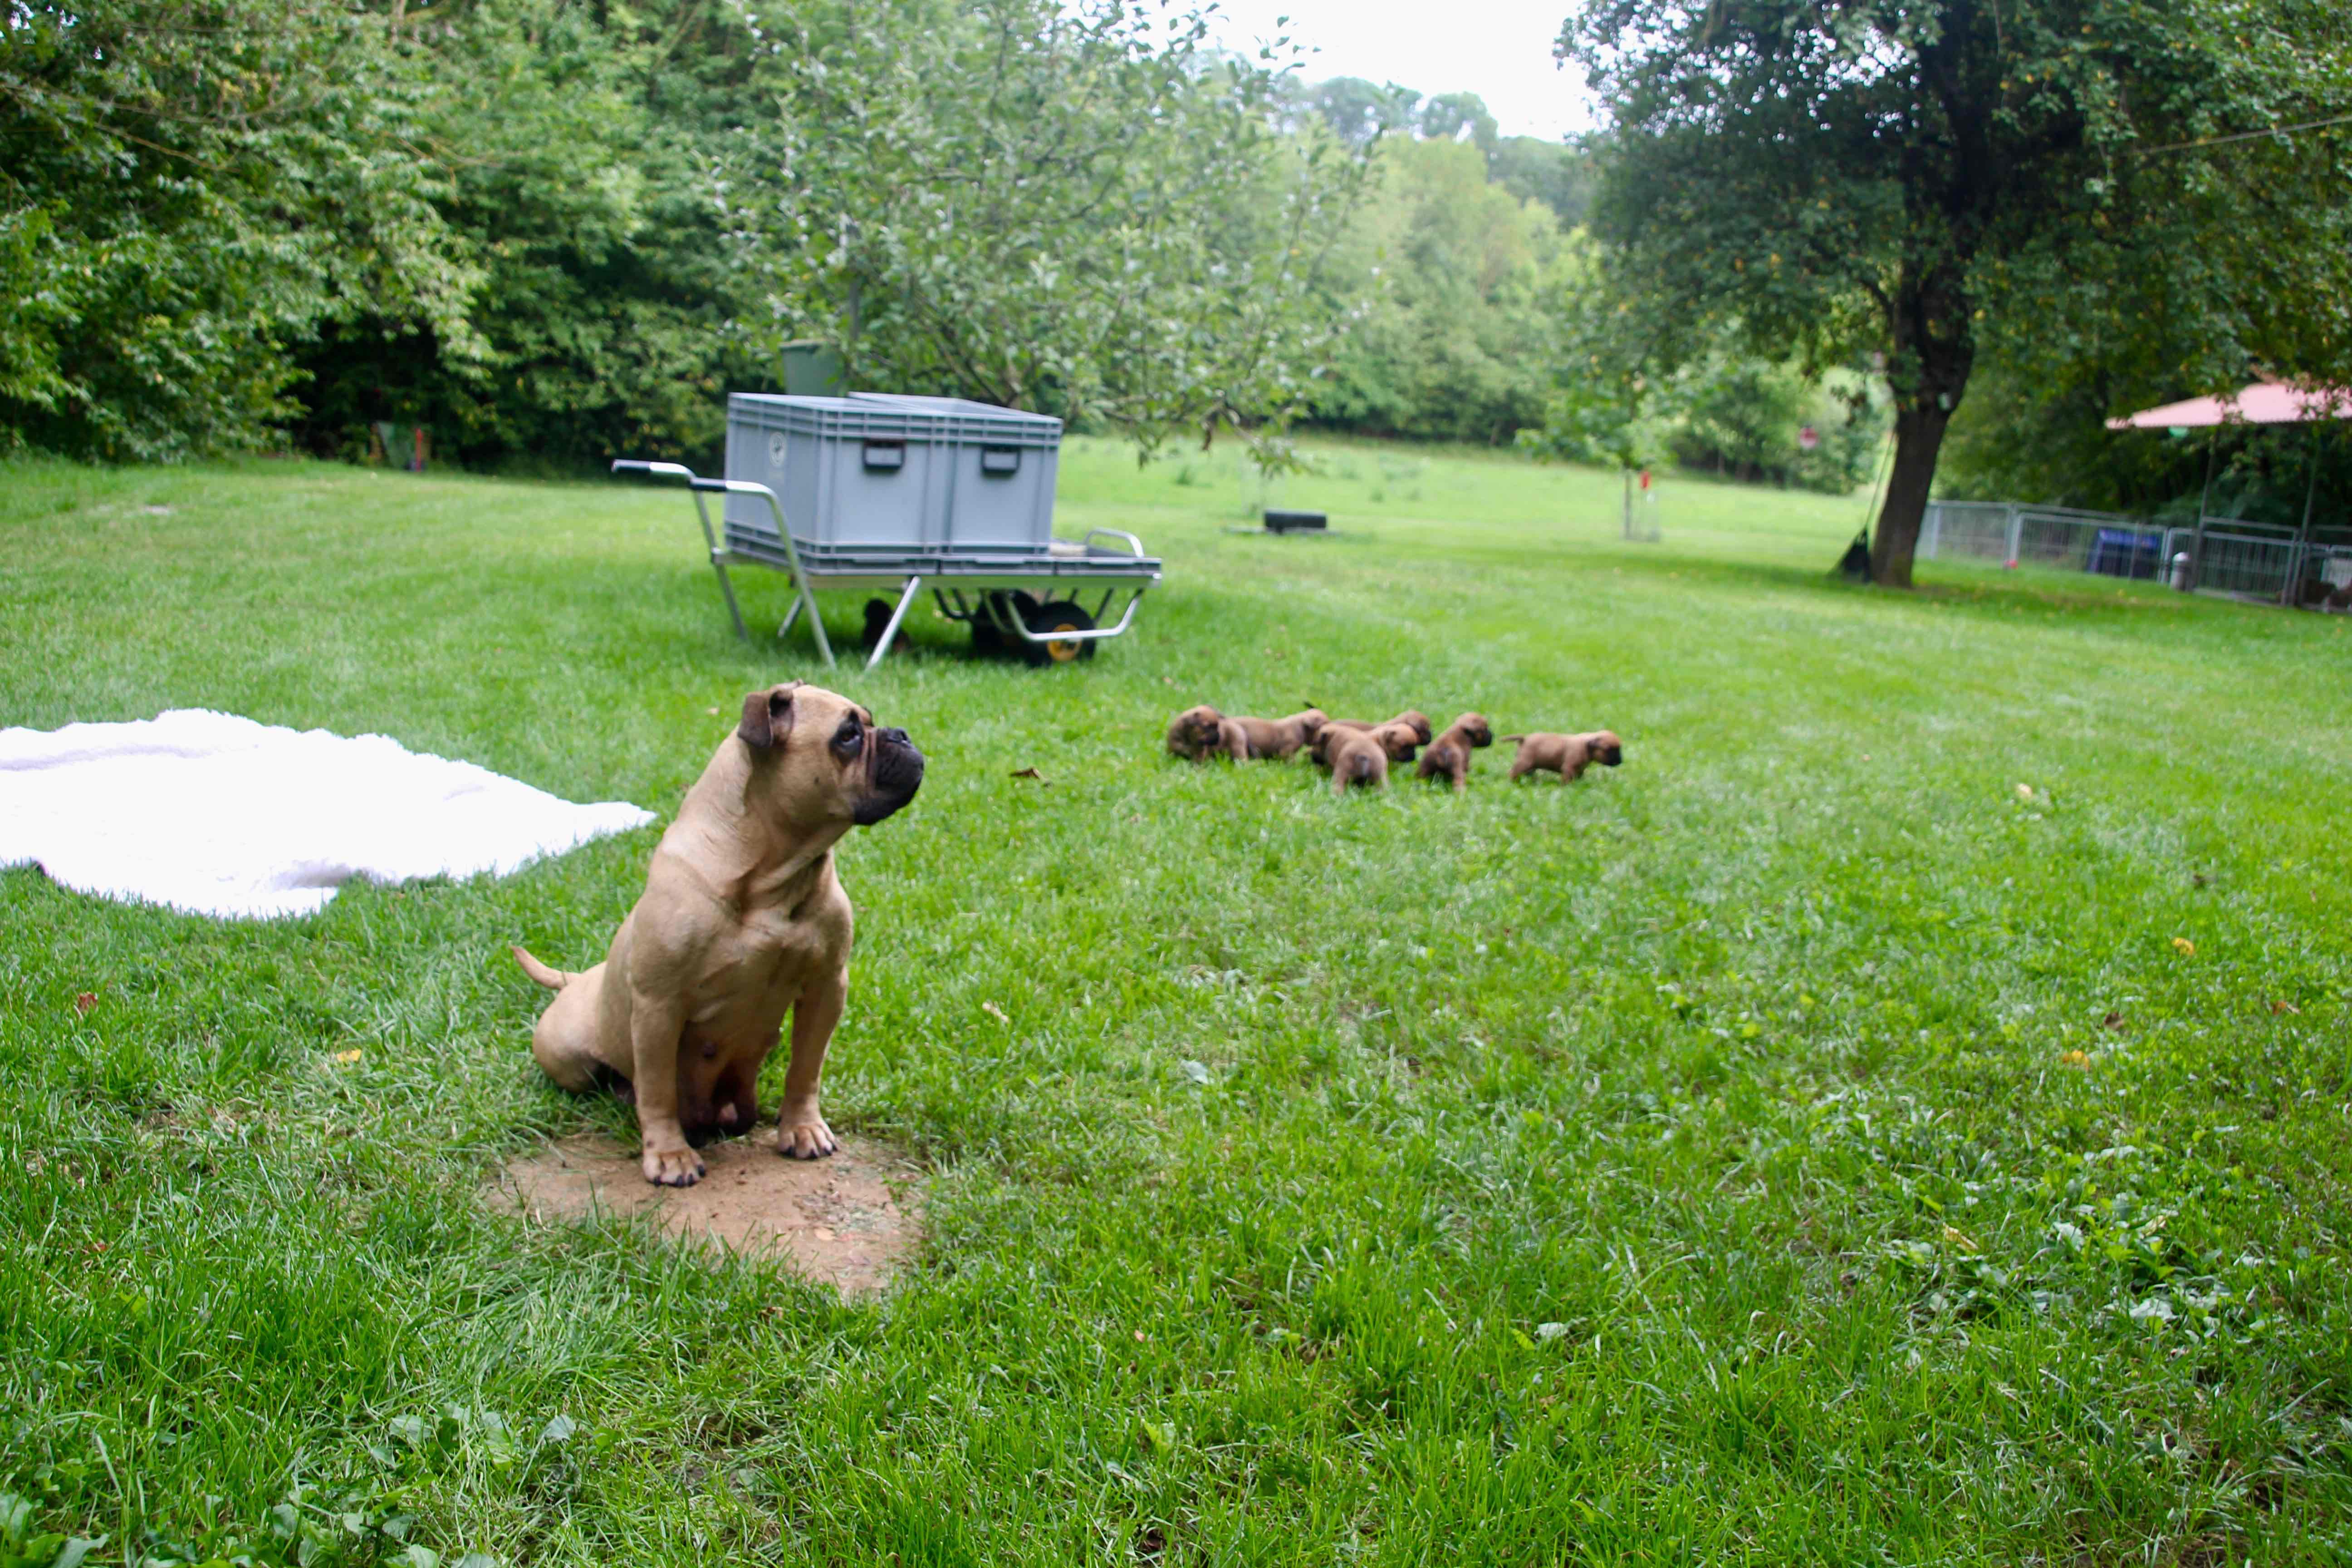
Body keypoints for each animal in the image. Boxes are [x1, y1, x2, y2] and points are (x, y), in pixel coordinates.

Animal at [510, 686, 922, 1189]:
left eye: (869, 722)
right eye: (847, 736)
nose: (902, 734)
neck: (771, 874)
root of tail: (581, 979)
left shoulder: (827, 986)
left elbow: (806, 1068)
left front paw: (802, 1127)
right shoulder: (658, 1007)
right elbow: (658, 1091)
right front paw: (669, 1155)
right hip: (567, 1059)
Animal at [1496, 733, 1627, 785]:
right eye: (1610, 750)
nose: (1620, 761)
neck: (1586, 746)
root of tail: (1524, 739)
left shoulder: (1579, 770)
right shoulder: (1569, 768)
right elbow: (1567, 780)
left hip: (1529, 766)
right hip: (1524, 764)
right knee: (1512, 773)